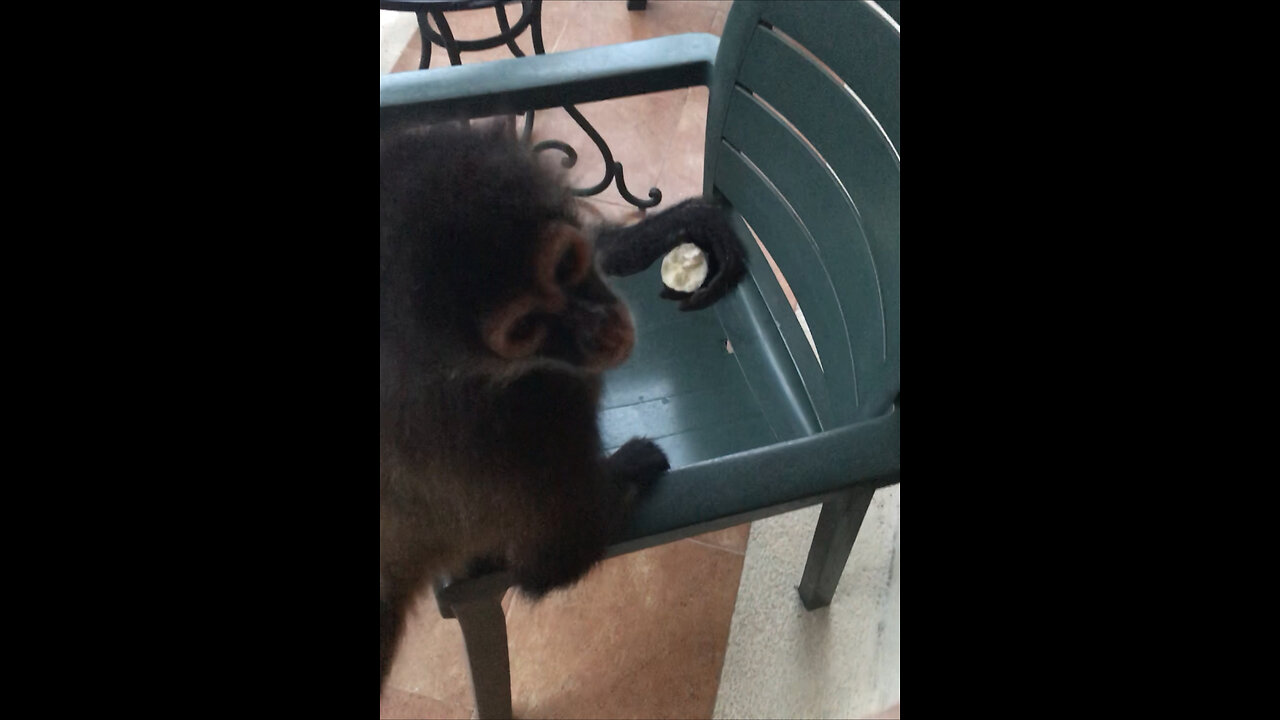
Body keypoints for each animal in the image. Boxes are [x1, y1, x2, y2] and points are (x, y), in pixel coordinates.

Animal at [373, 119, 747, 691]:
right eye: (527, 326)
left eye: (568, 264)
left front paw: (678, 227)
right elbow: (550, 564)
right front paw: (635, 461)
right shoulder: (523, 415)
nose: (599, 324)